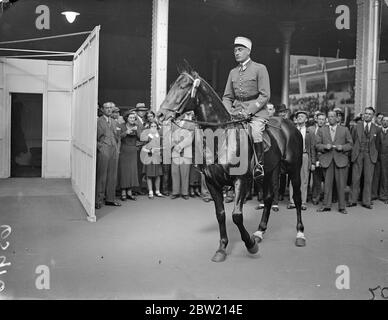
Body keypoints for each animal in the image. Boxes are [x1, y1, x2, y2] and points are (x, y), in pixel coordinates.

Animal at [158, 65, 306, 262]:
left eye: (183, 87)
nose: (160, 114)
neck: (221, 137)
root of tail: (290, 125)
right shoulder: (212, 182)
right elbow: (220, 215)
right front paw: (222, 248)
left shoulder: (241, 180)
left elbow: (236, 216)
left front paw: (250, 245)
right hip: (270, 171)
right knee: (268, 198)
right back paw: (260, 231)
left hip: (294, 169)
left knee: (297, 198)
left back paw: (300, 234)